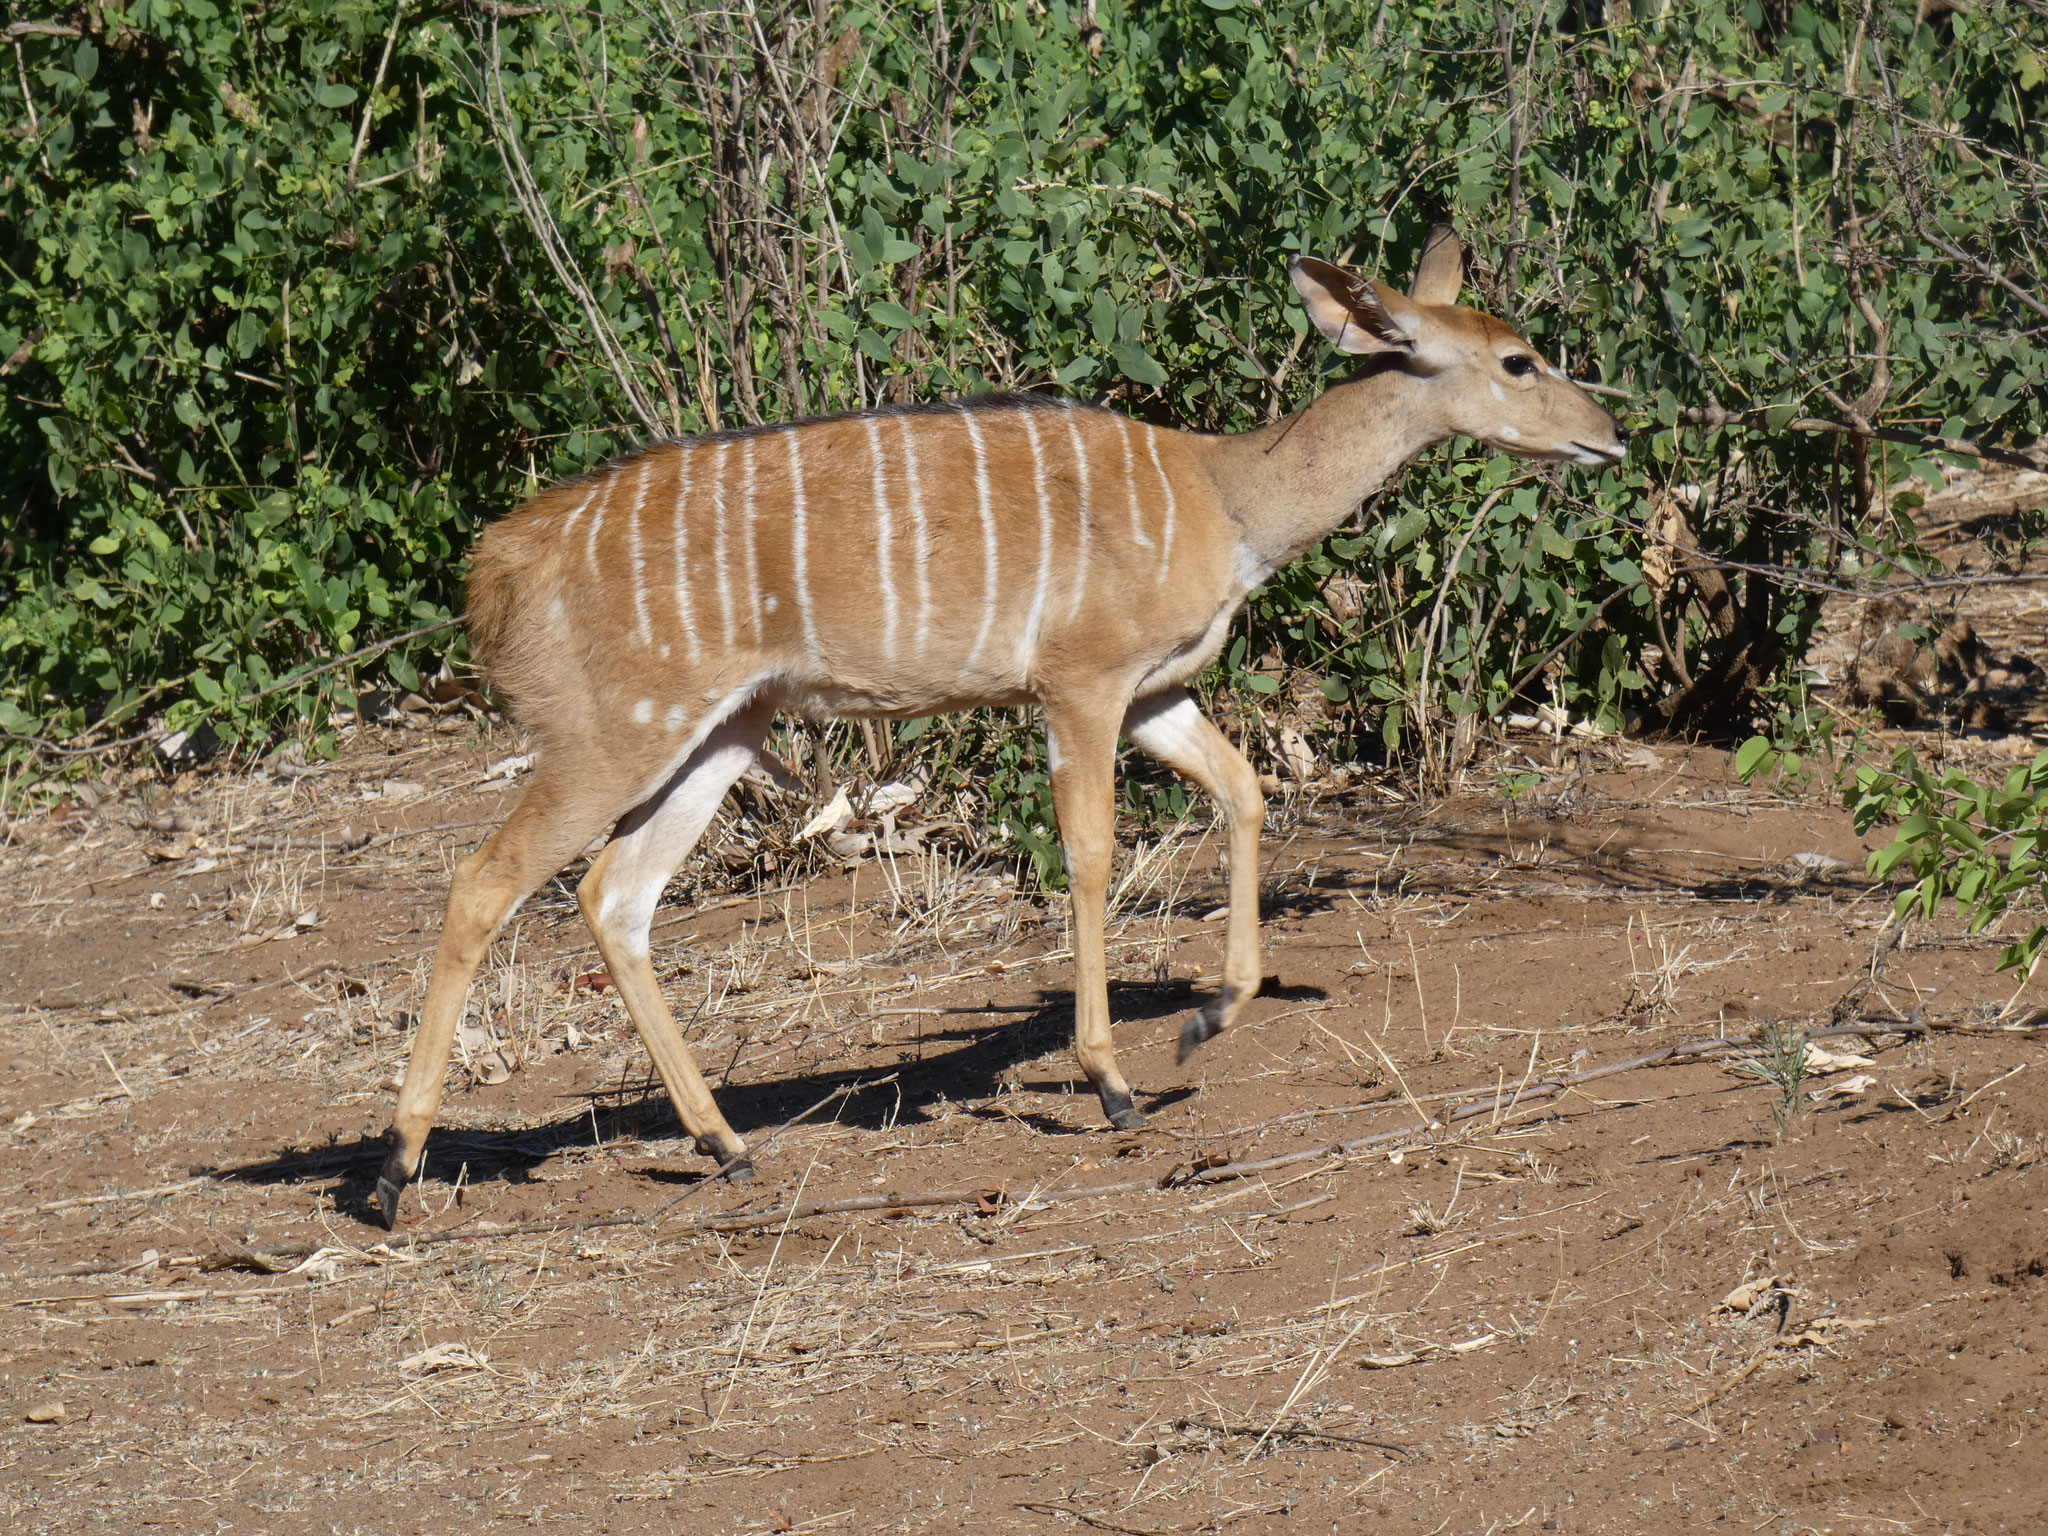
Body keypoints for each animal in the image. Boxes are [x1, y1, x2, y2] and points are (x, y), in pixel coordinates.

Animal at [372, 228, 1630, 1228]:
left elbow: (1244, 789)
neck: (1225, 500)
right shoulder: (1079, 685)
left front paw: (1209, 1018)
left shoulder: (1157, 693)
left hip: (721, 730)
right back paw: (394, 1171)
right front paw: (1112, 1083)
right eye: (1517, 360)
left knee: (614, 894)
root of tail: (498, 566)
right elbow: (1090, 855)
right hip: (616, 732)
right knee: (484, 883)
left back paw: (725, 1147)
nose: (1608, 438)